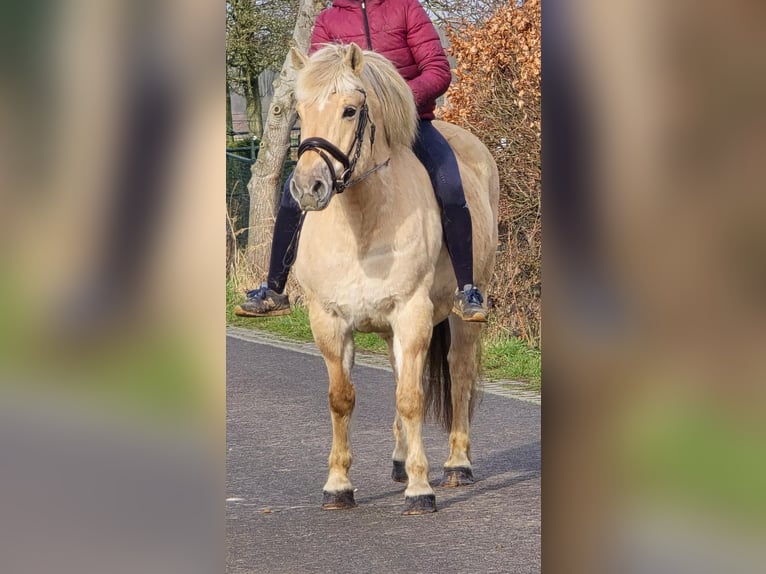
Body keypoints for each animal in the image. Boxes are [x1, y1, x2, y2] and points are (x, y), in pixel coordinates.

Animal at [289, 43, 499, 515]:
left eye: (350, 110)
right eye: (300, 110)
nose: (309, 188)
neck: (361, 224)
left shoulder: (412, 313)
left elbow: (411, 397)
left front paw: (421, 490)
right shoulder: (329, 320)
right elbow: (342, 398)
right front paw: (338, 486)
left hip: (459, 315)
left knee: (458, 372)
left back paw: (457, 464)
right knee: (400, 372)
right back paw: (401, 460)